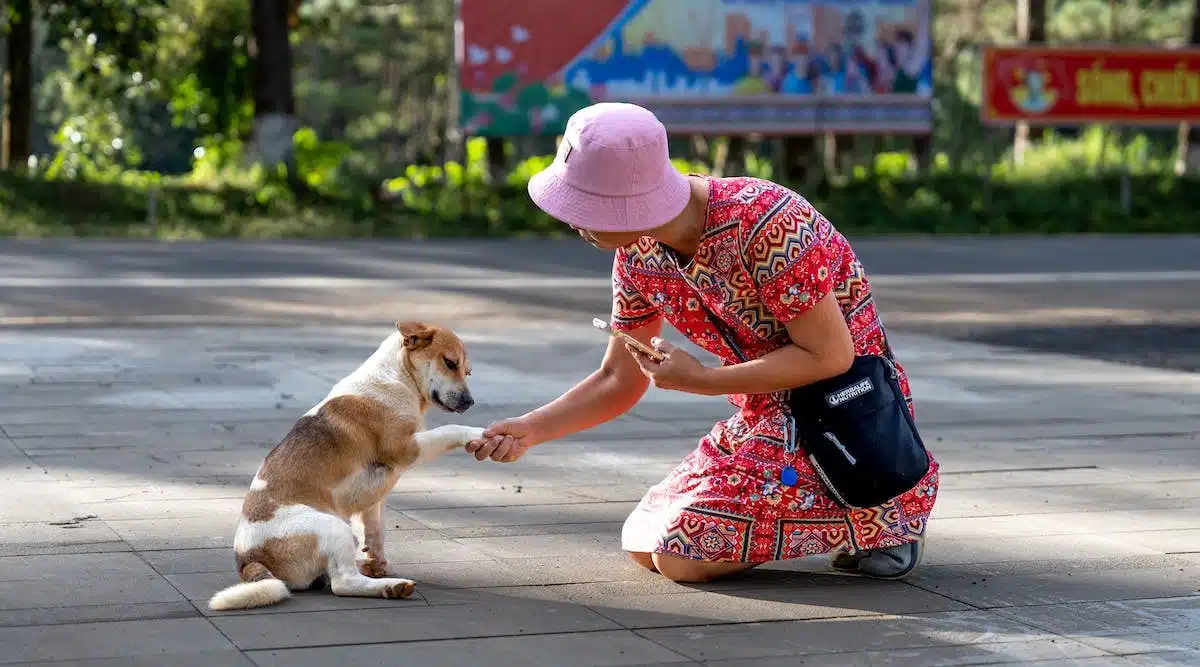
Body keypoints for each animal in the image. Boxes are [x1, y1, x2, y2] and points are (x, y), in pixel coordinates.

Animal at [208, 321, 484, 609]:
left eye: (468, 371)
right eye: (450, 362)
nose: (470, 402)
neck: (398, 379)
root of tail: (248, 559)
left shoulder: (375, 500)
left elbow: (376, 532)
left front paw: (377, 563)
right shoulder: (406, 448)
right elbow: (450, 429)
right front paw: (479, 434)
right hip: (335, 529)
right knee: (342, 583)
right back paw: (392, 587)